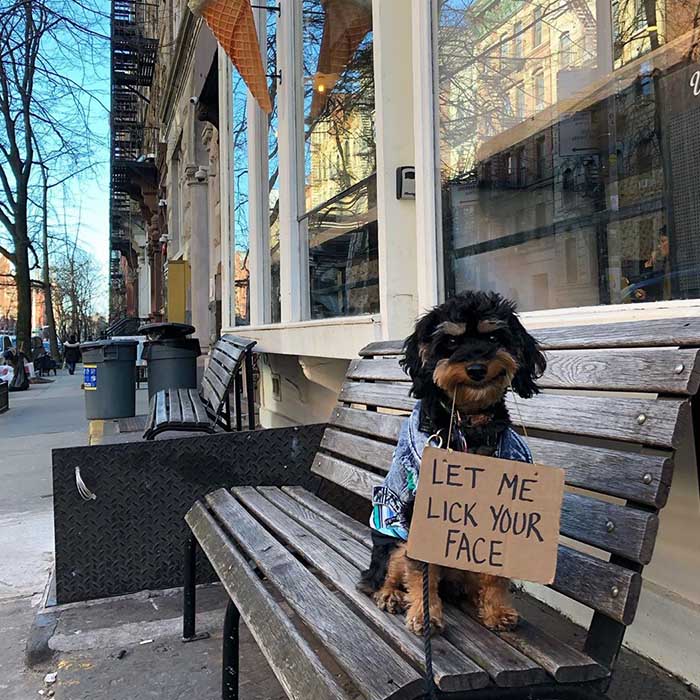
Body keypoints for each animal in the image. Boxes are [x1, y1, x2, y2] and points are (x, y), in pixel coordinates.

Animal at [356, 290, 548, 636]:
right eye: (451, 342)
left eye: (493, 337)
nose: (476, 368)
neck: (466, 423)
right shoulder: (420, 511)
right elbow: (421, 572)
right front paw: (424, 614)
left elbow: (494, 573)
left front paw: (497, 611)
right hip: (394, 542)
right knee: (380, 575)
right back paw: (390, 595)